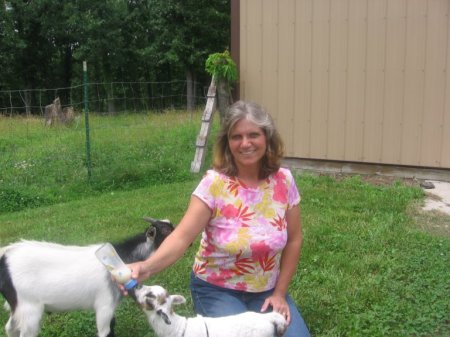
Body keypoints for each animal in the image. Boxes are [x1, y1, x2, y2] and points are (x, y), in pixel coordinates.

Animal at [0, 217, 174, 334]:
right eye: (165, 231)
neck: (120, 257)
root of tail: (4, 256)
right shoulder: (104, 305)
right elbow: (105, 331)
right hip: (29, 309)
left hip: (19, 308)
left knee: (9, 328)